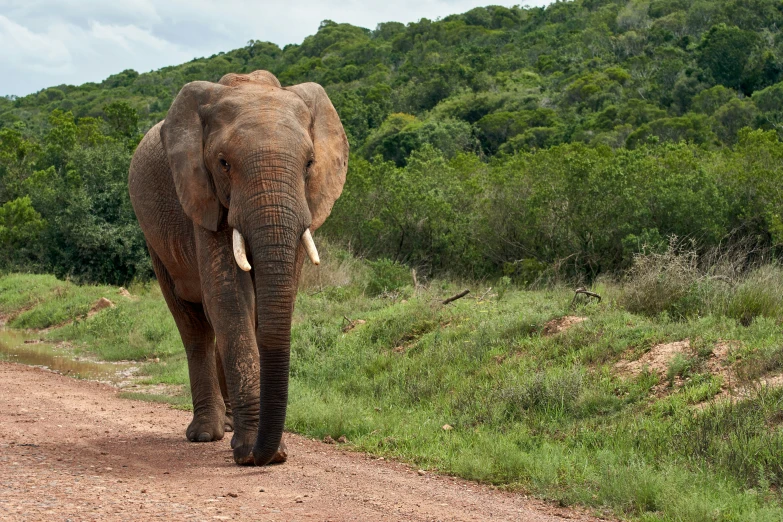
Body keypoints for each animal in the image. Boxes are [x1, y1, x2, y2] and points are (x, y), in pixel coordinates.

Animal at [127, 68, 348, 464]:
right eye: (224, 164)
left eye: (309, 164)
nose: (262, 456)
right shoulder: (202, 195)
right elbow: (230, 299)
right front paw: (253, 451)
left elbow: (267, 304)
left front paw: (264, 450)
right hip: (155, 240)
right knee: (193, 325)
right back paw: (206, 434)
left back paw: (226, 427)